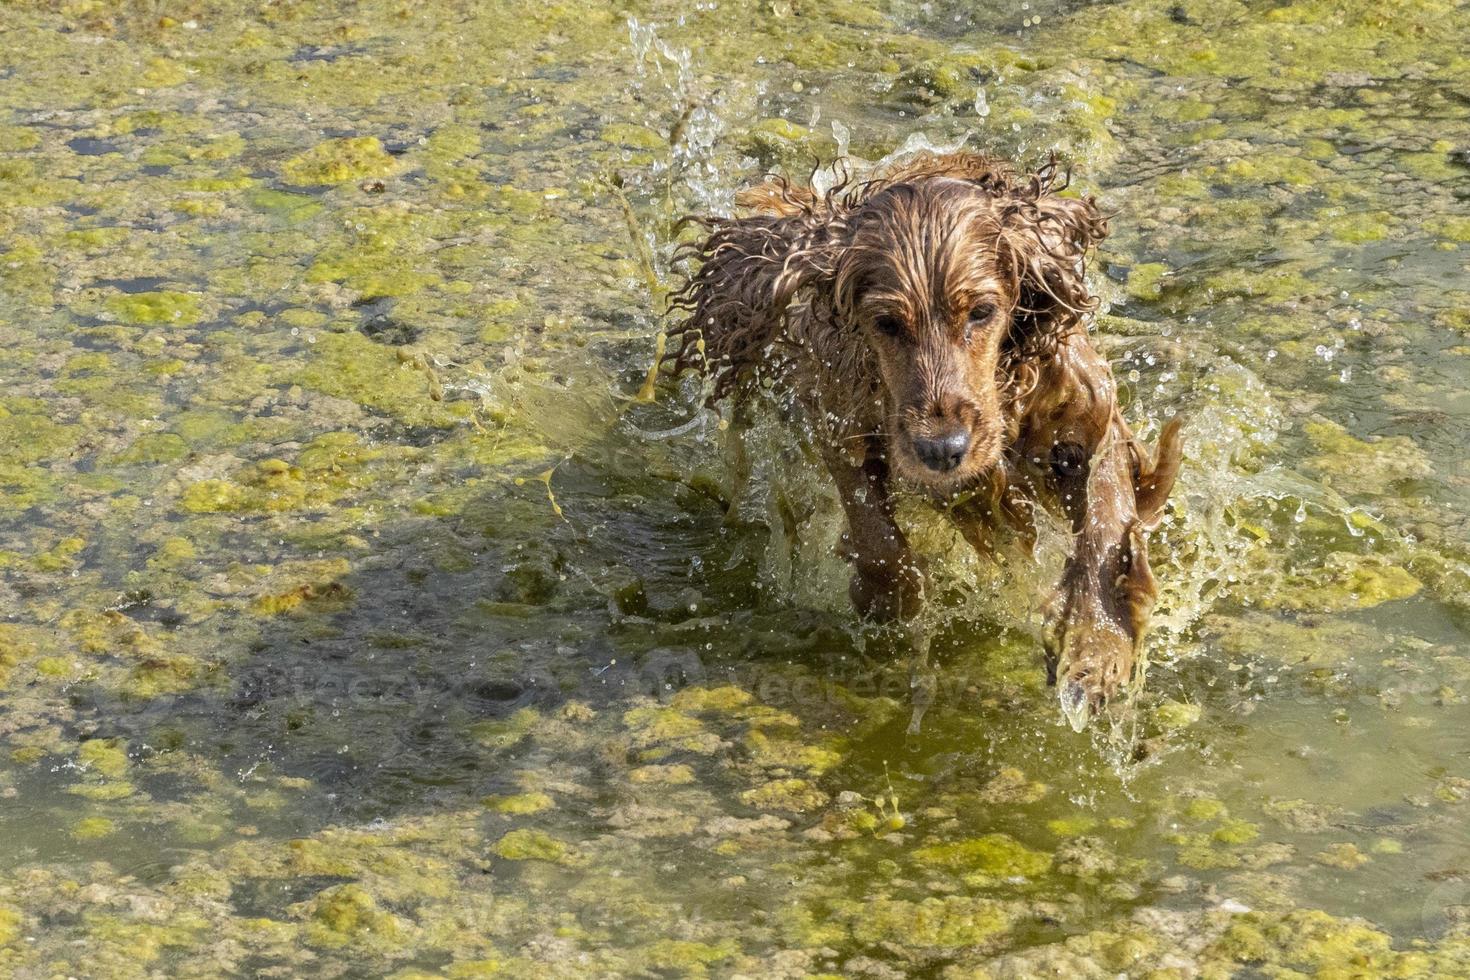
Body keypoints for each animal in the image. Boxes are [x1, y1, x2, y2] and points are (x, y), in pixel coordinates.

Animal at [667, 153, 1181, 719]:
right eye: (887, 323)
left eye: (981, 312)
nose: (943, 450)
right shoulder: (839, 413)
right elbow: (875, 532)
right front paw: (891, 604)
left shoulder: (1085, 409)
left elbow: (1106, 518)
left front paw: (1098, 646)